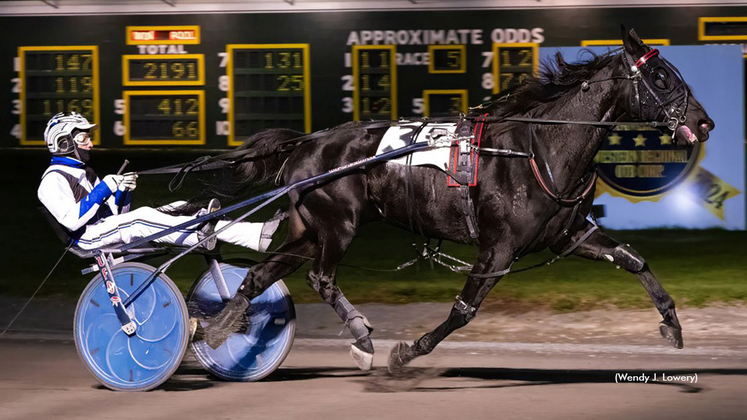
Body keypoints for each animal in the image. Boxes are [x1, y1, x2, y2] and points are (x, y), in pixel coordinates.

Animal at [202, 27, 716, 372]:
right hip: (337, 226)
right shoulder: (499, 248)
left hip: (311, 230)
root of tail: (304, 143)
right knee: (321, 278)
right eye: (661, 77)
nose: (705, 122)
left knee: (260, 275)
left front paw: (672, 322)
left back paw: (220, 328)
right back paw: (362, 338)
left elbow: (633, 259)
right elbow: (464, 310)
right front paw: (408, 351)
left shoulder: (569, 236)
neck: (539, 149)